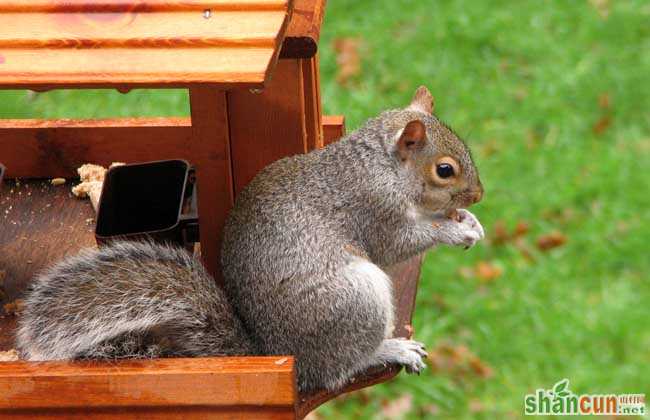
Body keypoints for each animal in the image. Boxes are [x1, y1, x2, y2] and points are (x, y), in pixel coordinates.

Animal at [15, 87, 480, 396]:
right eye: (445, 170)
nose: (478, 196)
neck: (378, 166)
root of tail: (286, 357)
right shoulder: (374, 208)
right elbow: (398, 243)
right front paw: (455, 229)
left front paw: (469, 220)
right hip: (354, 300)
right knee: (341, 367)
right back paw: (389, 348)